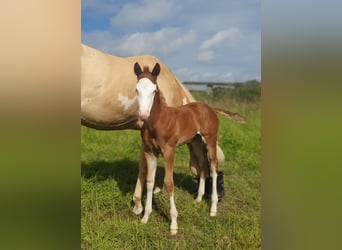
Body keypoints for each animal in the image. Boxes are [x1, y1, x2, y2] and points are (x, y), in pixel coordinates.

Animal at [133, 62, 243, 234]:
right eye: (137, 89)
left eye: (154, 90)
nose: (143, 115)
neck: (157, 122)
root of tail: (211, 108)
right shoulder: (150, 151)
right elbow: (150, 182)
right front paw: (145, 217)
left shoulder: (169, 150)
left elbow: (169, 183)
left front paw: (173, 224)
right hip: (195, 142)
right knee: (203, 166)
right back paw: (198, 199)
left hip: (210, 140)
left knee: (214, 168)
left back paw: (213, 208)